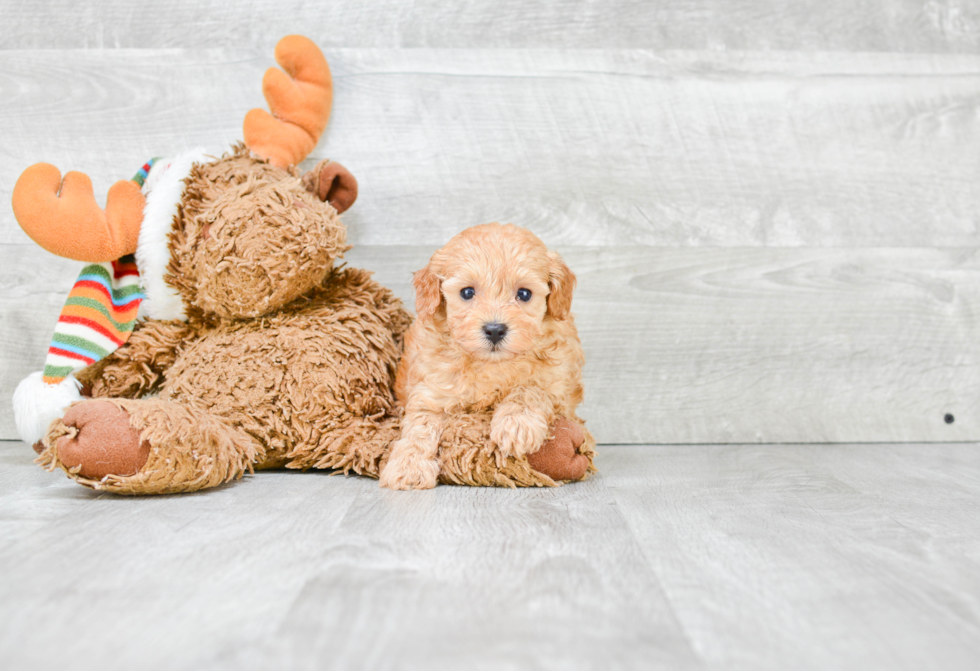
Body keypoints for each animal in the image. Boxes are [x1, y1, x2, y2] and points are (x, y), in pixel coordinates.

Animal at [378, 223, 580, 490]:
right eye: (467, 292)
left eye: (524, 294)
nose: (494, 330)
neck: (491, 364)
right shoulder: (431, 391)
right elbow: (419, 427)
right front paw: (409, 466)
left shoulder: (560, 388)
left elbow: (531, 388)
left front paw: (516, 423)